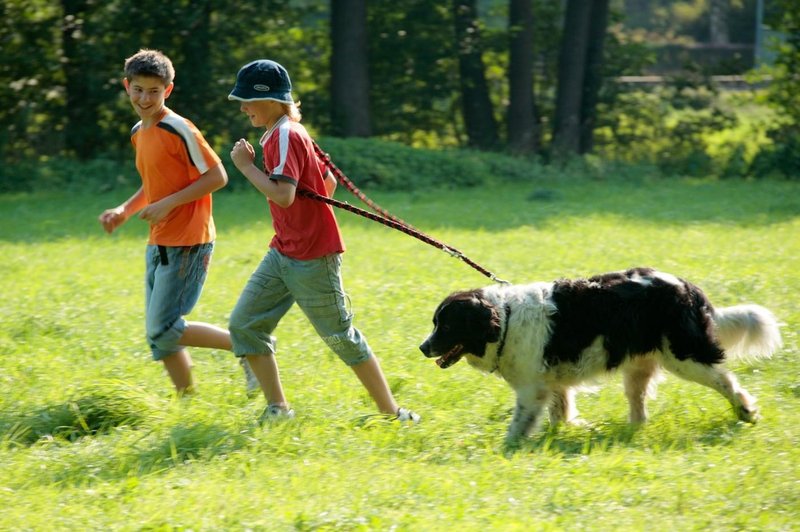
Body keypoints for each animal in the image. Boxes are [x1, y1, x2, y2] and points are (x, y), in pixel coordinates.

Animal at [418, 266, 780, 444]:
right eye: (436, 323)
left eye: (445, 326)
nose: (423, 347)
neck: (504, 319)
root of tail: (687, 286)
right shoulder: (552, 382)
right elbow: (561, 411)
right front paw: (571, 430)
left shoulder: (532, 389)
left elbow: (520, 423)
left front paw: (507, 447)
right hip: (640, 366)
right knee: (639, 403)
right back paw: (632, 432)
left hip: (685, 356)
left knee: (725, 380)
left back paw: (746, 411)